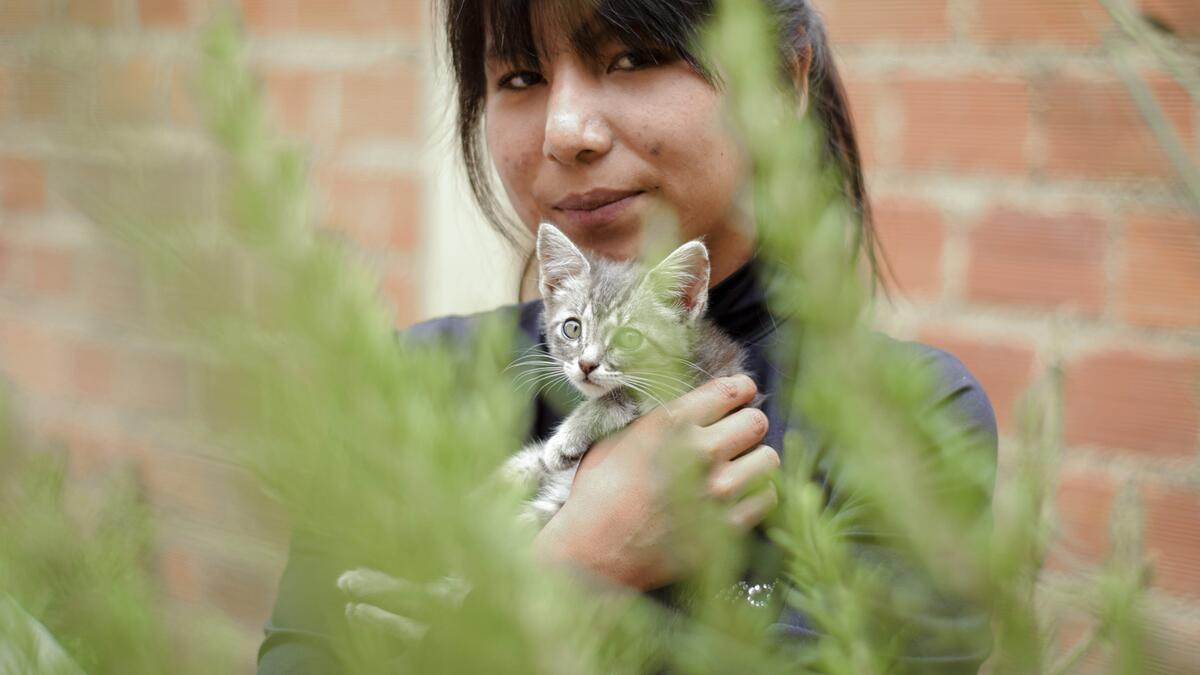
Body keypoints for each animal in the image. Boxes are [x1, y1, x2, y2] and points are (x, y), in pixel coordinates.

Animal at [504, 223, 748, 523]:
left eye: (629, 338)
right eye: (572, 328)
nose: (586, 364)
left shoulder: (698, 381)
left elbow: (622, 396)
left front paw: (565, 439)